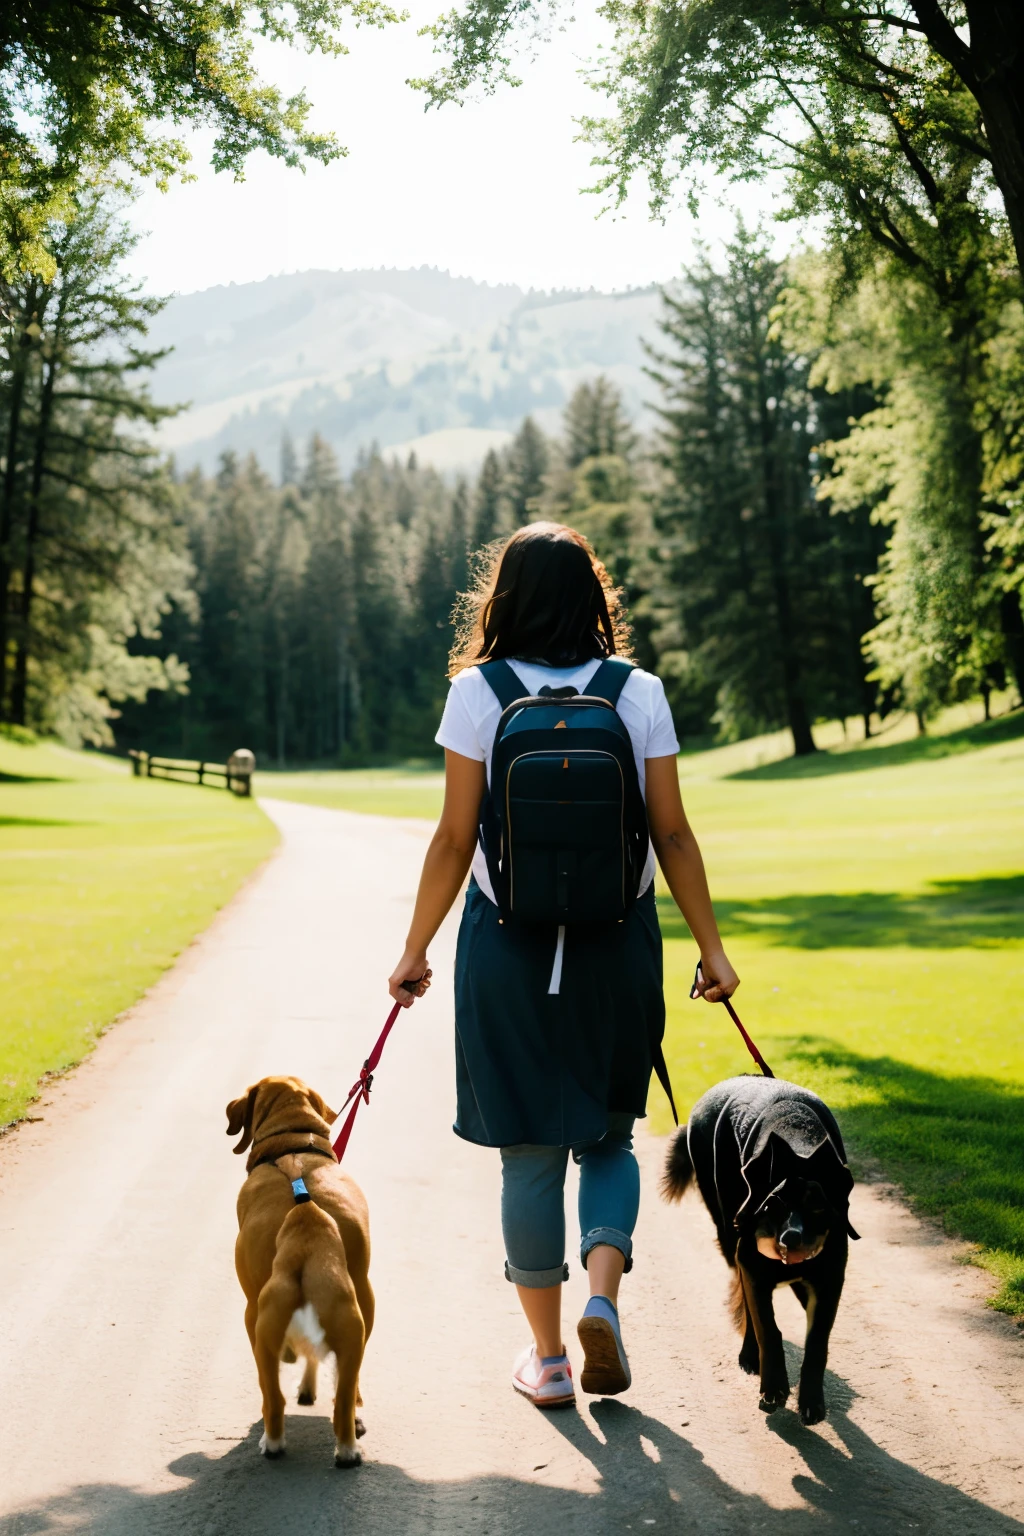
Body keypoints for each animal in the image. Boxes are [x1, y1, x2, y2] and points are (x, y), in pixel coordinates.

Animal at [228, 1075, 376, 1468]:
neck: (292, 1143)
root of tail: (309, 1229)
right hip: (358, 1318)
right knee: (344, 1397)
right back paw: (348, 1447)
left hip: (259, 1327)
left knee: (273, 1398)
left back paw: (273, 1442)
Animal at [666, 1075, 859, 1419]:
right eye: (773, 1204)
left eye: (818, 1205)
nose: (791, 1238)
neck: (797, 1135)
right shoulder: (752, 1268)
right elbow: (767, 1328)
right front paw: (773, 1388)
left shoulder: (830, 1278)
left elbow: (817, 1340)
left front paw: (811, 1399)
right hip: (727, 1231)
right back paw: (749, 1354)